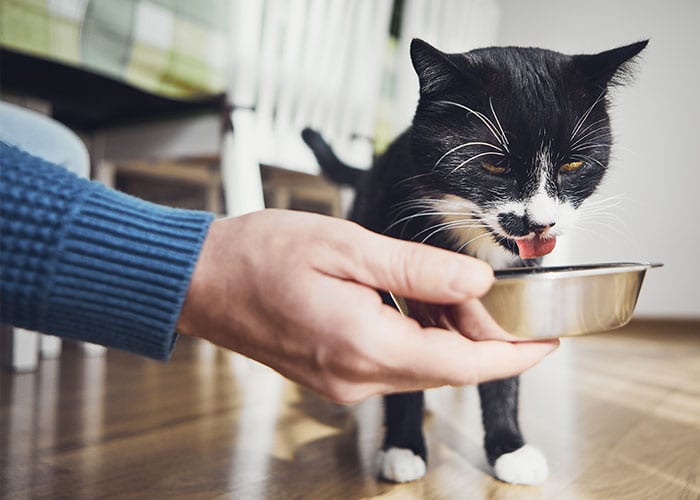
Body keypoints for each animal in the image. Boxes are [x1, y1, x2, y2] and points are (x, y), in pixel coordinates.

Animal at [304, 38, 648, 484]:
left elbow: (504, 364)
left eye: (573, 163)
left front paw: (510, 449)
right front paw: (402, 447)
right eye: (494, 163)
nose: (540, 223)